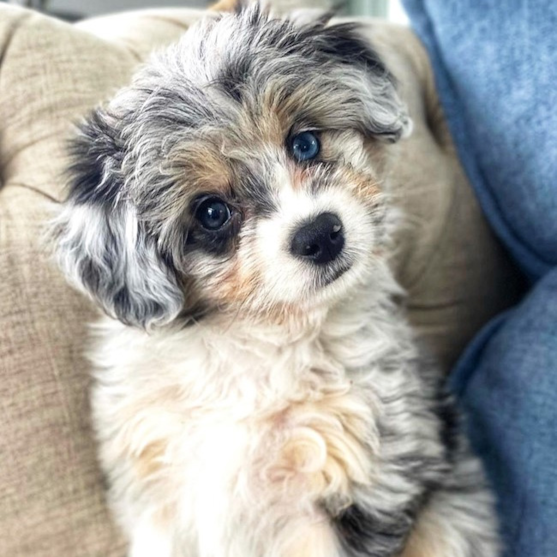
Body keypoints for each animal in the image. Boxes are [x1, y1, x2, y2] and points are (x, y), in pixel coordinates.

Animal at [54, 5, 502, 556]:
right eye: (211, 212)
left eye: (305, 142)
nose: (320, 234)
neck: (260, 340)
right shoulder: (158, 494)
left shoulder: (356, 477)